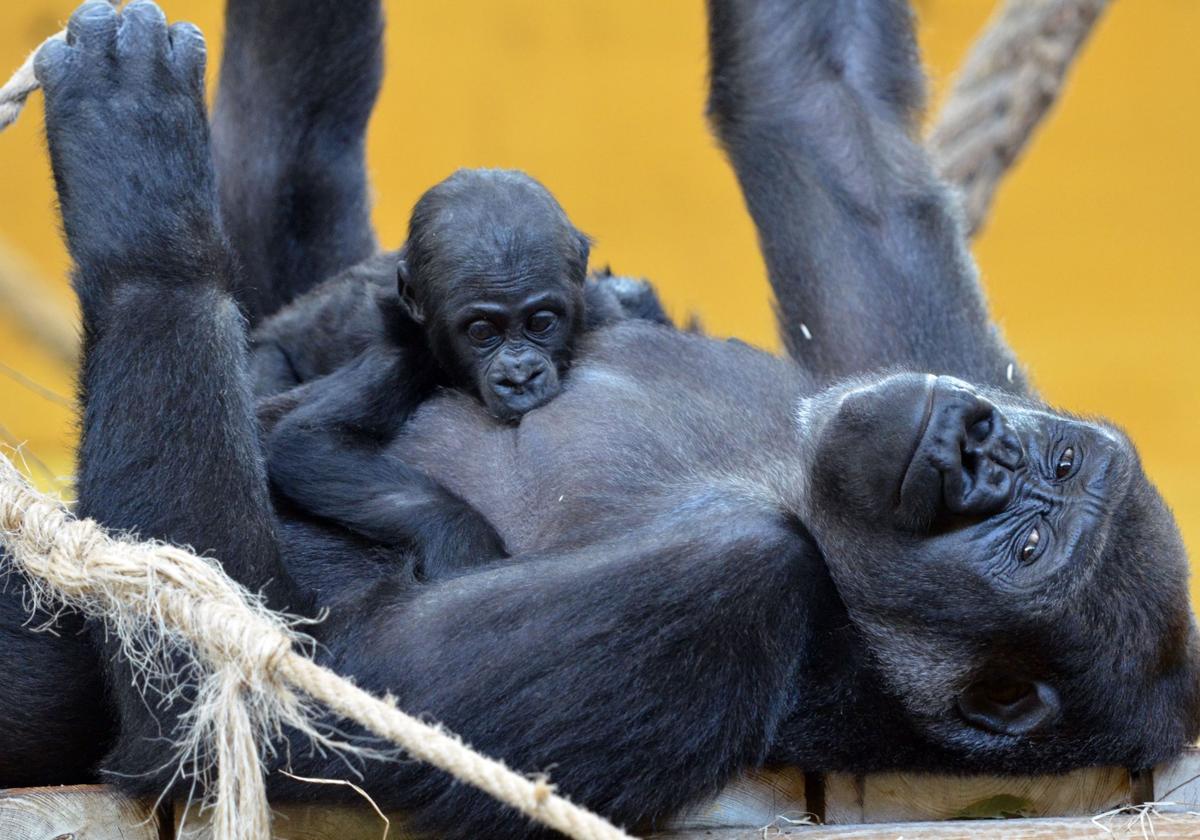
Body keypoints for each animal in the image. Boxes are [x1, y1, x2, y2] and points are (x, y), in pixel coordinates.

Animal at [265, 166, 667, 580]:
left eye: (540, 322)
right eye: (481, 331)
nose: (519, 377)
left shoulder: (601, 310)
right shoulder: (403, 355)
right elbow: (311, 440)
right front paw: (461, 540)